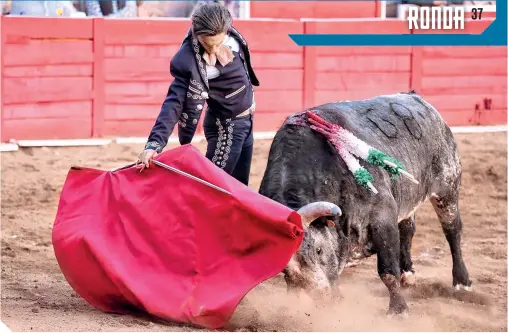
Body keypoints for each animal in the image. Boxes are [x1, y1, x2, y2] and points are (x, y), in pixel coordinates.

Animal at [260, 90, 474, 314]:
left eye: (318, 250)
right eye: (284, 268)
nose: (323, 299)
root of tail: (416, 98)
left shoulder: (383, 217)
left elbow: (387, 270)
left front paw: (398, 311)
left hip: (448, 186)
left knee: (452, 230)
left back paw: (461, 282)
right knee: (408, 228)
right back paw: (408, 274)